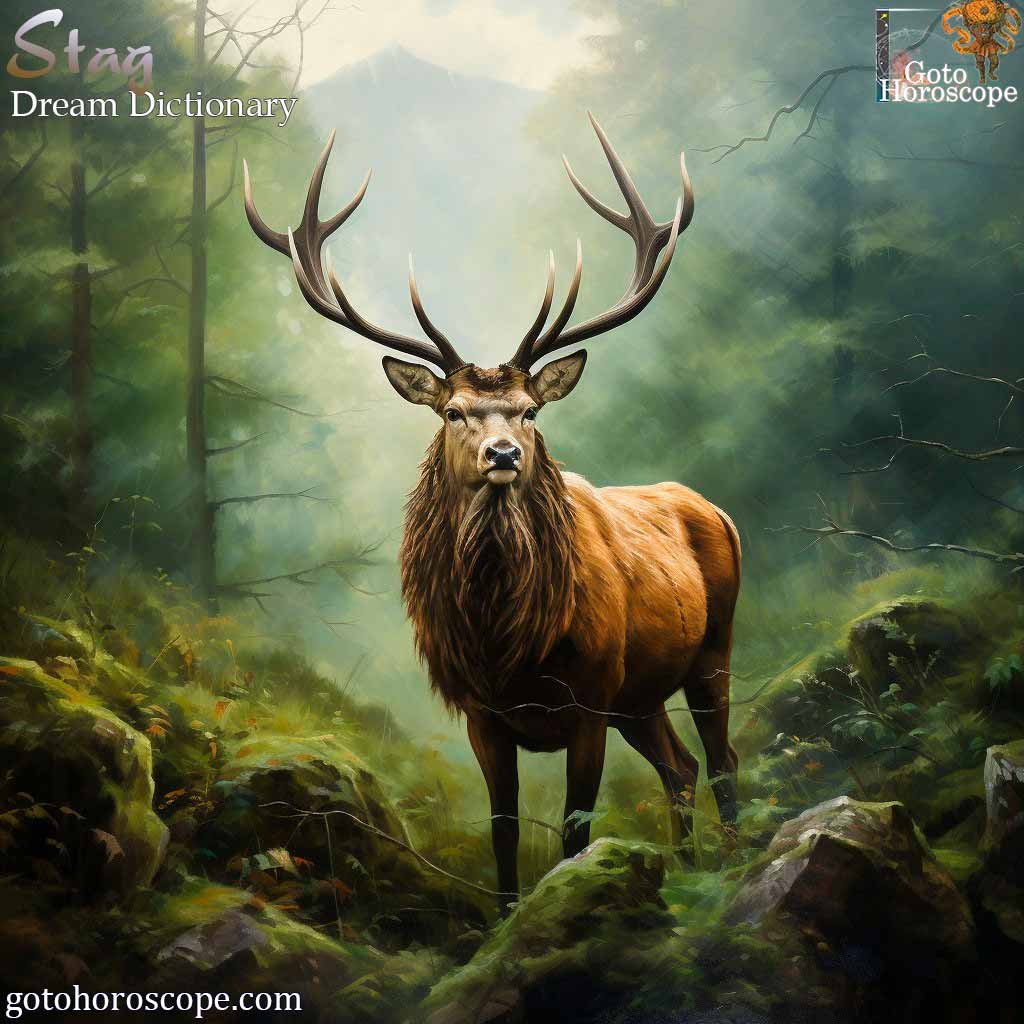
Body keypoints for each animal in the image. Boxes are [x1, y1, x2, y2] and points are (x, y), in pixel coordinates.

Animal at [243, 113, 741, 902]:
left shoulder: (589, 698)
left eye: (530, 410)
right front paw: (506, 913)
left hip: (711, 649)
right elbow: (504, 831)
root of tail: (715, 510)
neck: (508, 642)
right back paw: (688, 869)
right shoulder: (484, 714)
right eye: (453, 411)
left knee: (721, 762)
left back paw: (732, 861)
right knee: (681, 767)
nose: (503, 454)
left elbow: (574, 830)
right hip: (640, 696)